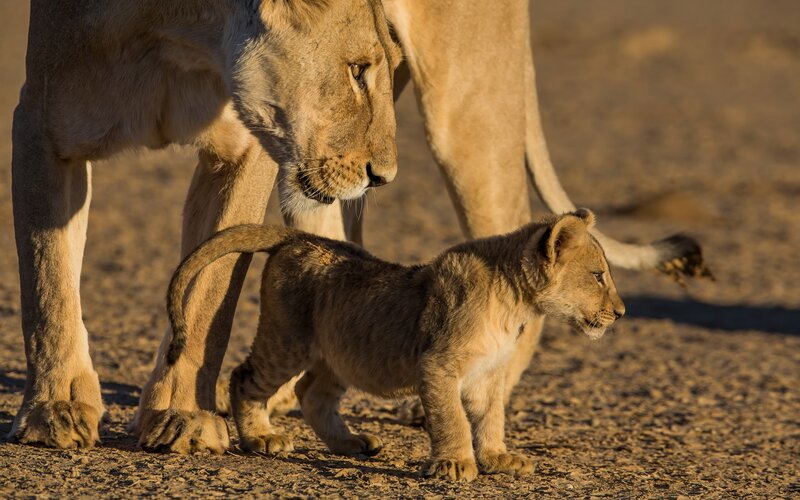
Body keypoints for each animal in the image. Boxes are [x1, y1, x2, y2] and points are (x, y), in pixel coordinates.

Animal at [164, 209, 624, 481]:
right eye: (599, 275)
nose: (620, 313)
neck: (515, 302)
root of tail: (298, 238)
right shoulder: (438, 364)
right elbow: (453, 419)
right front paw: (455, 464)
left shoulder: (489, 374)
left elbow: (491, 418)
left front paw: (497, 458)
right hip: (287, 339)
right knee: (245, 378)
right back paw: (262, 438)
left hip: (339, 353)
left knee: (312, 393)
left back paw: (351, 443)